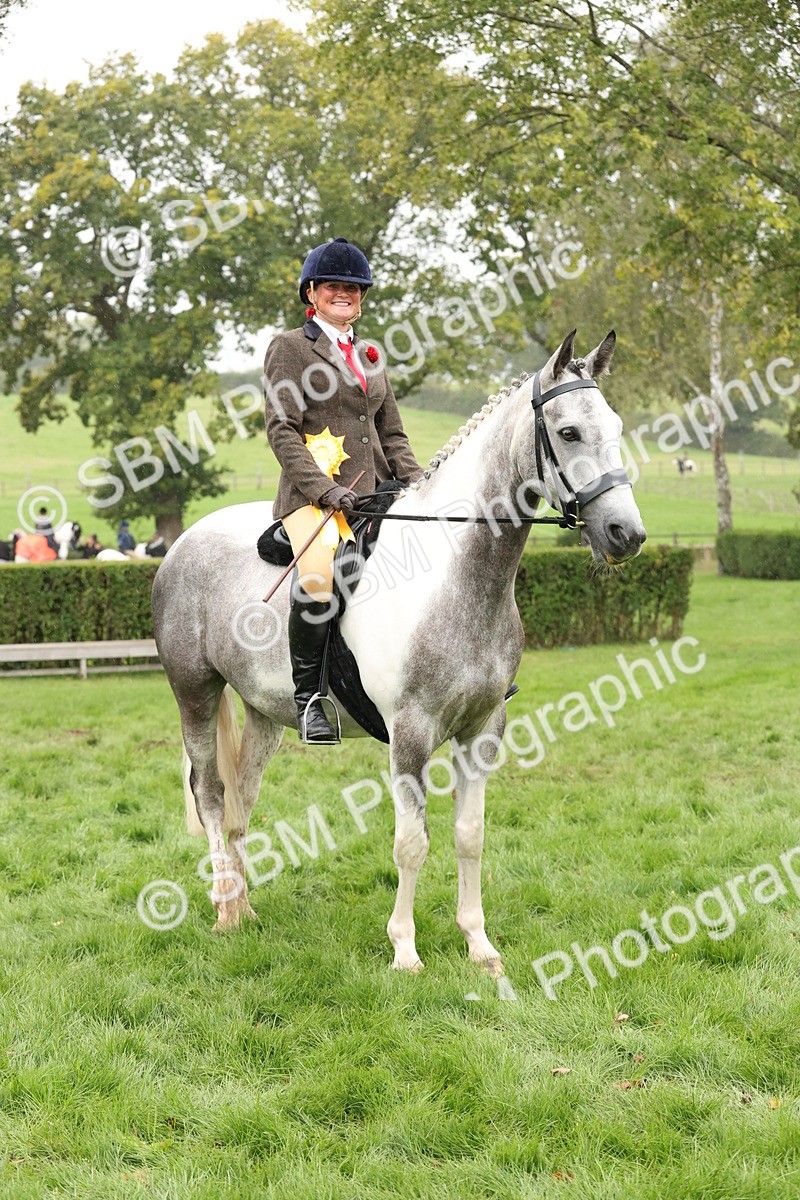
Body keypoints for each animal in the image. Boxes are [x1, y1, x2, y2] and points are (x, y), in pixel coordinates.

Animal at [152, 330, 646, 973]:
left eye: (614, 425)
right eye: (568, 433)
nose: (626, 535)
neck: (456, 577)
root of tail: (183, 542)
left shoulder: (483, 729)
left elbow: (470, 836)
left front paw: (480, 946)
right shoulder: (410, 734)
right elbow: (412, 842)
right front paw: (405, 950)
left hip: (265, 710)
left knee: (243, 798)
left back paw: (244, 906)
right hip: (195, 693)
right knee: (212, 795)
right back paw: (224, 913)